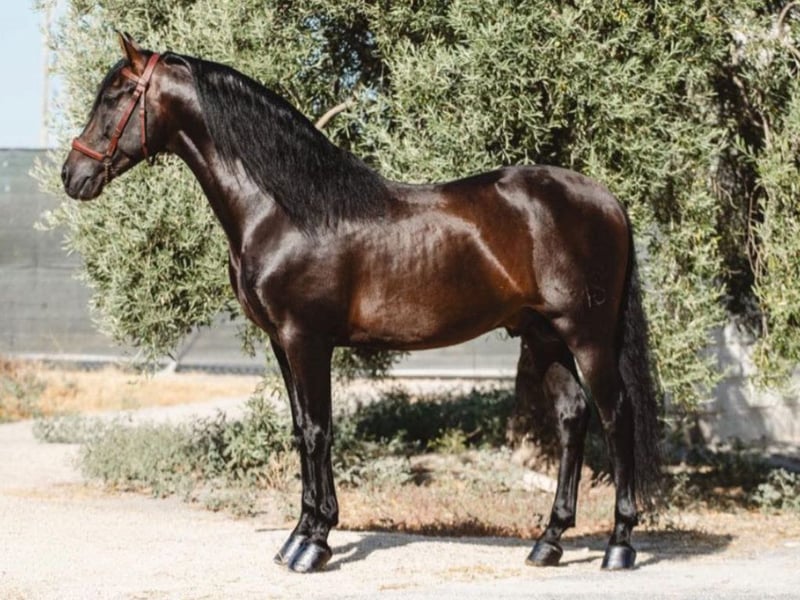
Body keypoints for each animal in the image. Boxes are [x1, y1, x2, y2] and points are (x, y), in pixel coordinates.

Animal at [62, 33, 661, 574]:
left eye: (118, 94)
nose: (74, 174)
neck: (285, 209)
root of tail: (607, 200)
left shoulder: (307, 340)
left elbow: (319, 430)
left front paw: (313, 545)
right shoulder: (282, 343)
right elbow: (302, 430)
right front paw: (299, 535)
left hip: (586, 336)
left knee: (616, 415)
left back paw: (619, 545)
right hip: (543, 336)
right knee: (572, 417)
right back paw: (549, 541)